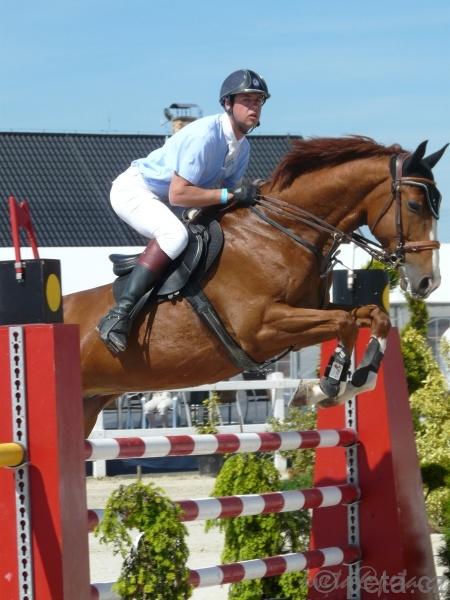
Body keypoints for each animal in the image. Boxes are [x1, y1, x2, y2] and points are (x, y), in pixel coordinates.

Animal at [63, 136, 447, 435]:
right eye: (415, 204)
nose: (428, 281)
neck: (280, 233)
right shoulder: (261, 328)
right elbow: (346, 322)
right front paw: (325, 387)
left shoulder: (306, 314)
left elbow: (372, 316)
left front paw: (353, 380)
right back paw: (115, 327)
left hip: (88, 405)